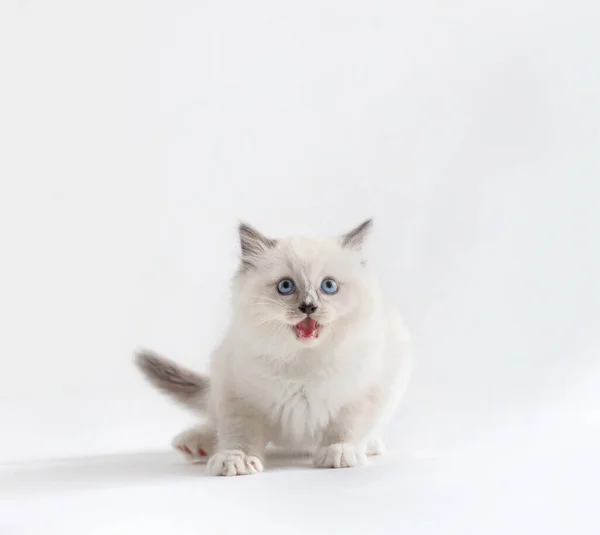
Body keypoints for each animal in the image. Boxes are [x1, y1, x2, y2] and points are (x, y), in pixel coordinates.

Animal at [135, 220, 412, 480]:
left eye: (329, 286)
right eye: (286, 286)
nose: (308, 307)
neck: (302, 359)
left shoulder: (365, 391)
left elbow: (347, 427)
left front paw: (340, 451)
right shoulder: (238, 394)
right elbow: (239, 434)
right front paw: (236, 459)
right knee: (214, 423)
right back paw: (197, 444)